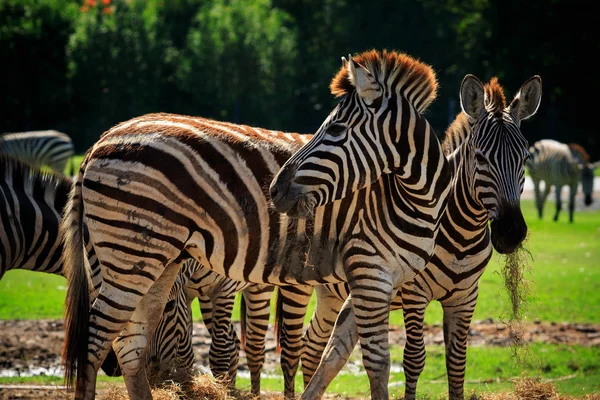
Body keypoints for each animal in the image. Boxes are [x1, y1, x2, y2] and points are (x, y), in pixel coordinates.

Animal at [61, 50, 452, 400]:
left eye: (337, 128)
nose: (274, 190)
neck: (410, 196)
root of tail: (100, 140)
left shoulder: (379, 280)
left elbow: (335, 357)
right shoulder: (368, 271)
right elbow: (376, 363)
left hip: (151, 260)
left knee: (131, 343)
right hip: (131, 253)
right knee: (96, 340)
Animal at [274, 75, 540, 400]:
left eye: (525, 157)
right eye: (480, 158)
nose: (511, 232)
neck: (462, 235)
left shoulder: (465, 296)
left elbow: (457, 363)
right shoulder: (415, 293)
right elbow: (414, 358)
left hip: (332, 292)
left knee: (315, 344)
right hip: (298, 284)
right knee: (293, 348)